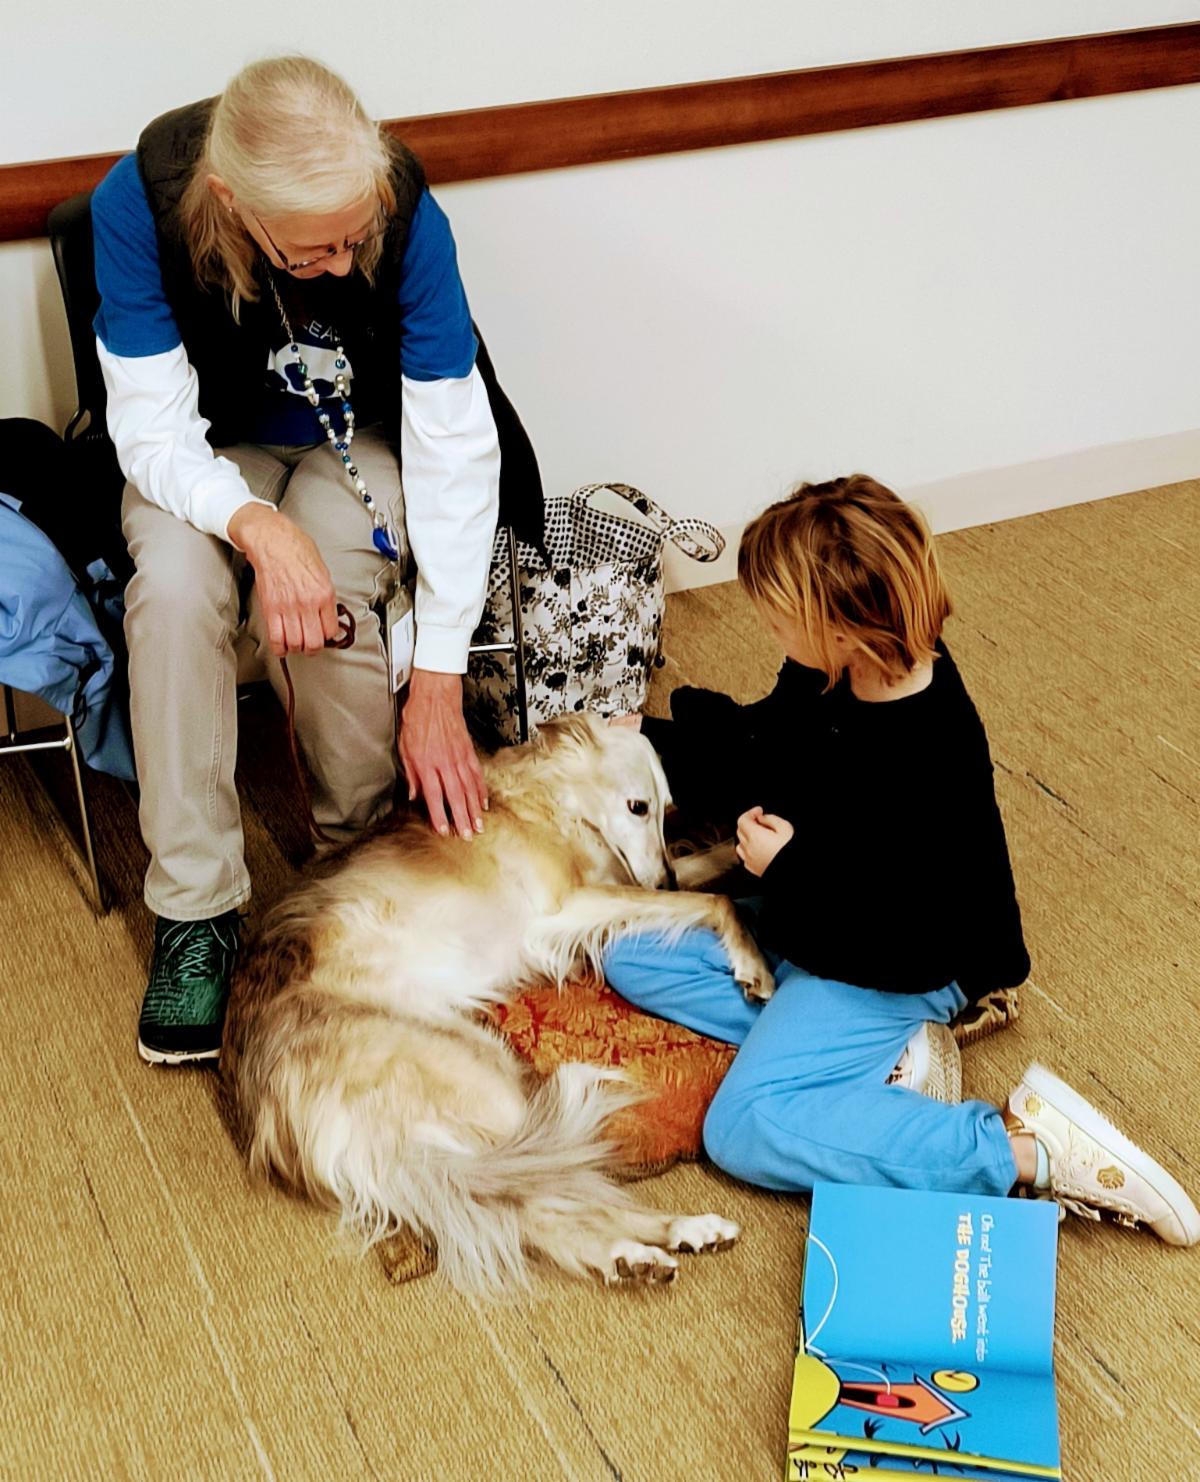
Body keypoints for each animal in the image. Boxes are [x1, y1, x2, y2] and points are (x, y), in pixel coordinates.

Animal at [221, 713, 774, 1295]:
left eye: (666, 810)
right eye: (636, 807)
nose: (662, 878)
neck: (552, 799)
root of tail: (261, 1100)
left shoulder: (621, 881)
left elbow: (705, 872)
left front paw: (747, 851)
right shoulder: (568, 906)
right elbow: (717, 901)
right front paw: (755, 966)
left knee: (532, 1203)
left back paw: (645, 1250)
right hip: (488, 1084)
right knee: (545, 1193)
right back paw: (659, 1239)